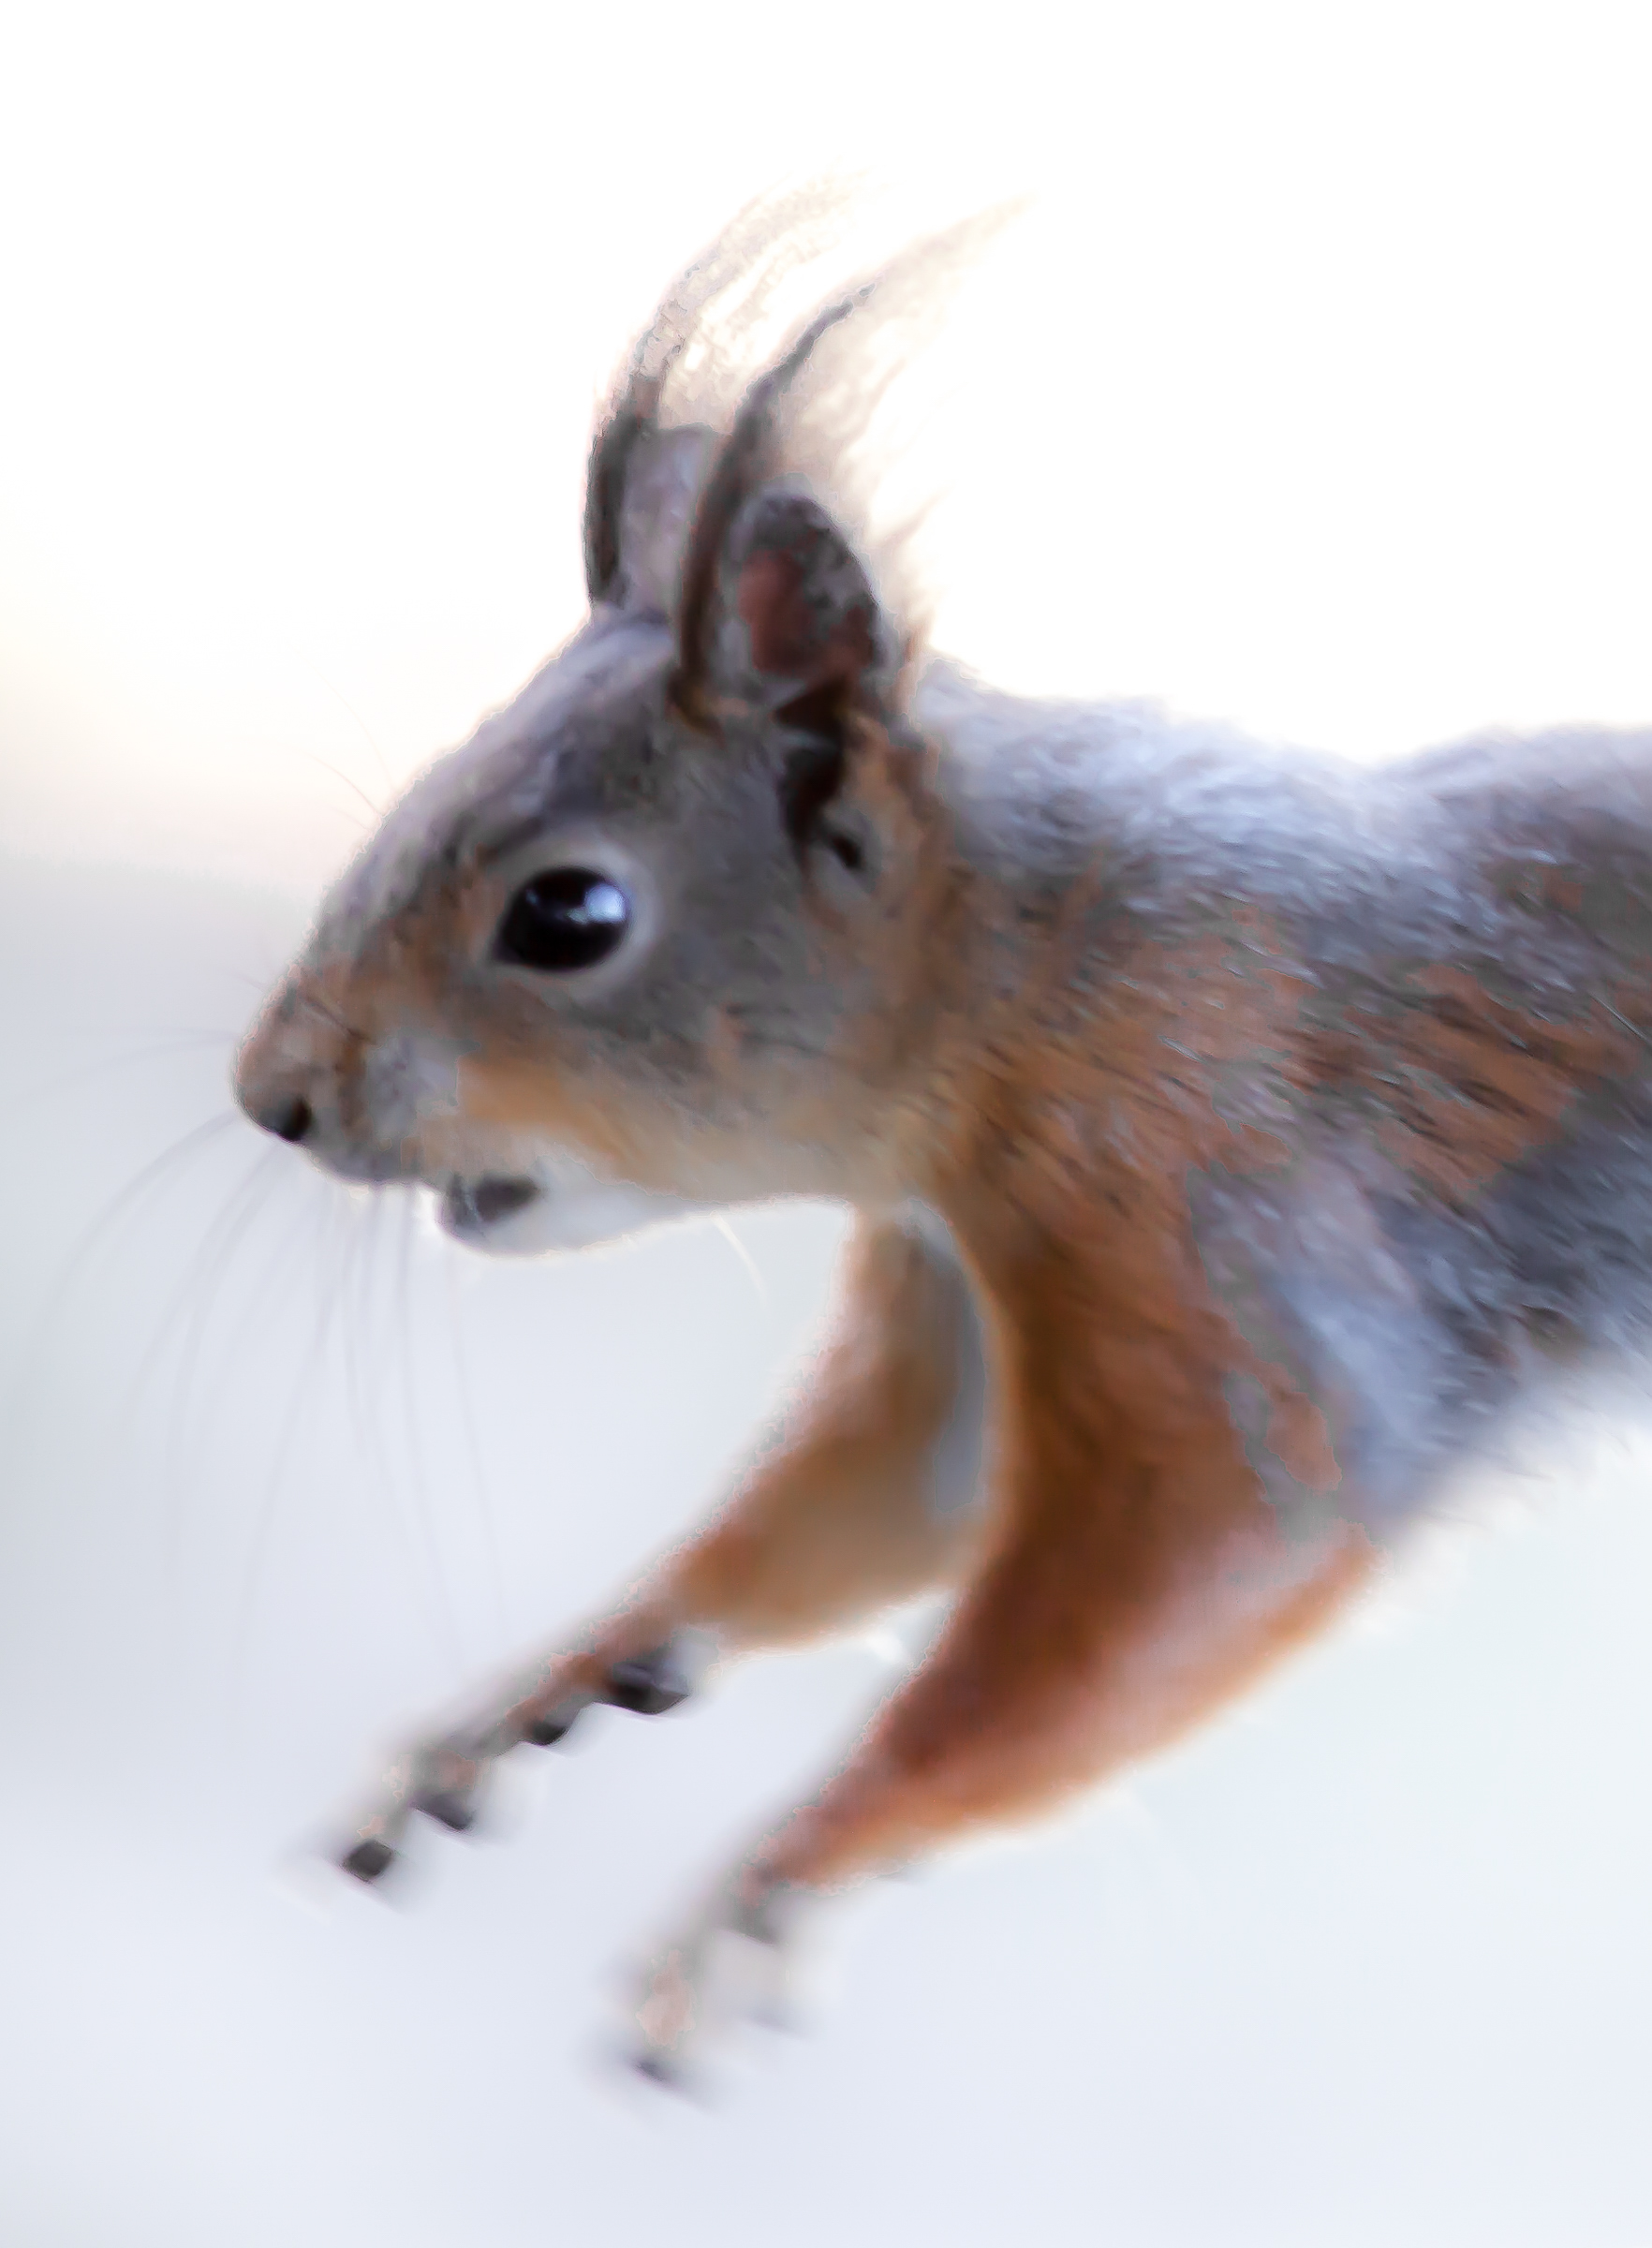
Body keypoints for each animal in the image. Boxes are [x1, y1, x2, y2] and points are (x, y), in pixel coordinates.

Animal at [236, 187, 1652, 2083]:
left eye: (567, 914)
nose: (277, 1096)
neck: (1024, 962)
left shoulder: (1219, 1204)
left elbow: (1193, 1562)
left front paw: (802, 1850)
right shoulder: (958, 1295)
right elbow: (882, 1494)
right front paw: (562, 1673)